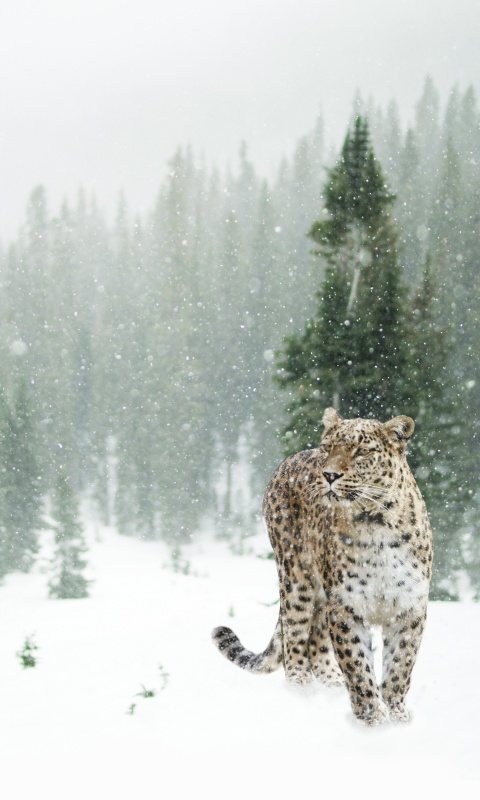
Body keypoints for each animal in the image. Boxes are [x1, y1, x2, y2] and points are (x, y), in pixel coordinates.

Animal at [212, 406, 434, 724]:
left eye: (362, 451)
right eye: (328, 447)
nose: (329, 474)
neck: (375, 523)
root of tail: (289, 459)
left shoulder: (409, 607)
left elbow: (400, 665)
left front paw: (396, 715)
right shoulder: (346, 606)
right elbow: (357, 665)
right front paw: (372, 718)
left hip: (319, 594)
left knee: (316, 638)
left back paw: (330, 684)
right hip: (296, 577)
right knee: (294, 635)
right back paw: (301, 690)